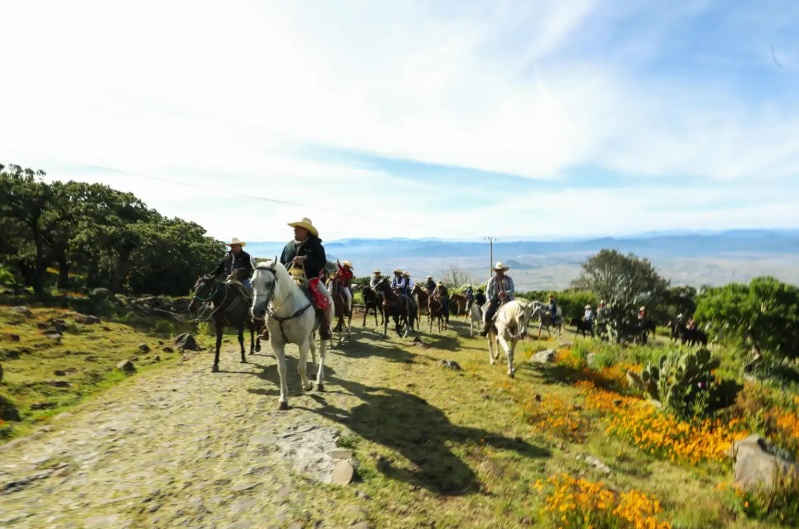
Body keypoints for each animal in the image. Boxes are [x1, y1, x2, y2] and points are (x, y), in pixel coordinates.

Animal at [250, 258, 332, 410]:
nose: (256, 311)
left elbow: (301, 368)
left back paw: (319, 381)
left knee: (322, 353)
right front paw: (283, 399)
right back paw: (314, 371)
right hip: (310, 333)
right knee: (313, 349)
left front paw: (307, 385)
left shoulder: (302, 342)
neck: (287, 310)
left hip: (323, 331)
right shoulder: (276, 344)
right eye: (252, 283)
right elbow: (281, 369)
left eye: (269, 283)